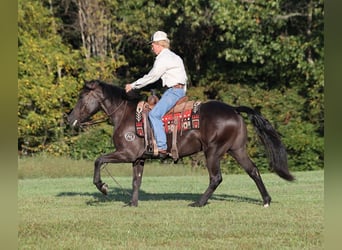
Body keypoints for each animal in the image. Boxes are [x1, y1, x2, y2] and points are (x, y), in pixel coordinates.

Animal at [67, 79, 294, 207]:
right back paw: (266, 201)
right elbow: (136, 181)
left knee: (216, 178)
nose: (70, 119)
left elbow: (99, 160)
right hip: (237, 150)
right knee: (253, 171)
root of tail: (233, 109)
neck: (125, 115)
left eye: (82, 97)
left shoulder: (126, 154)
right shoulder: (138, 159)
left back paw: (199, 203)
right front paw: (132, 204)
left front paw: (103, 187)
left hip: (213, 151)